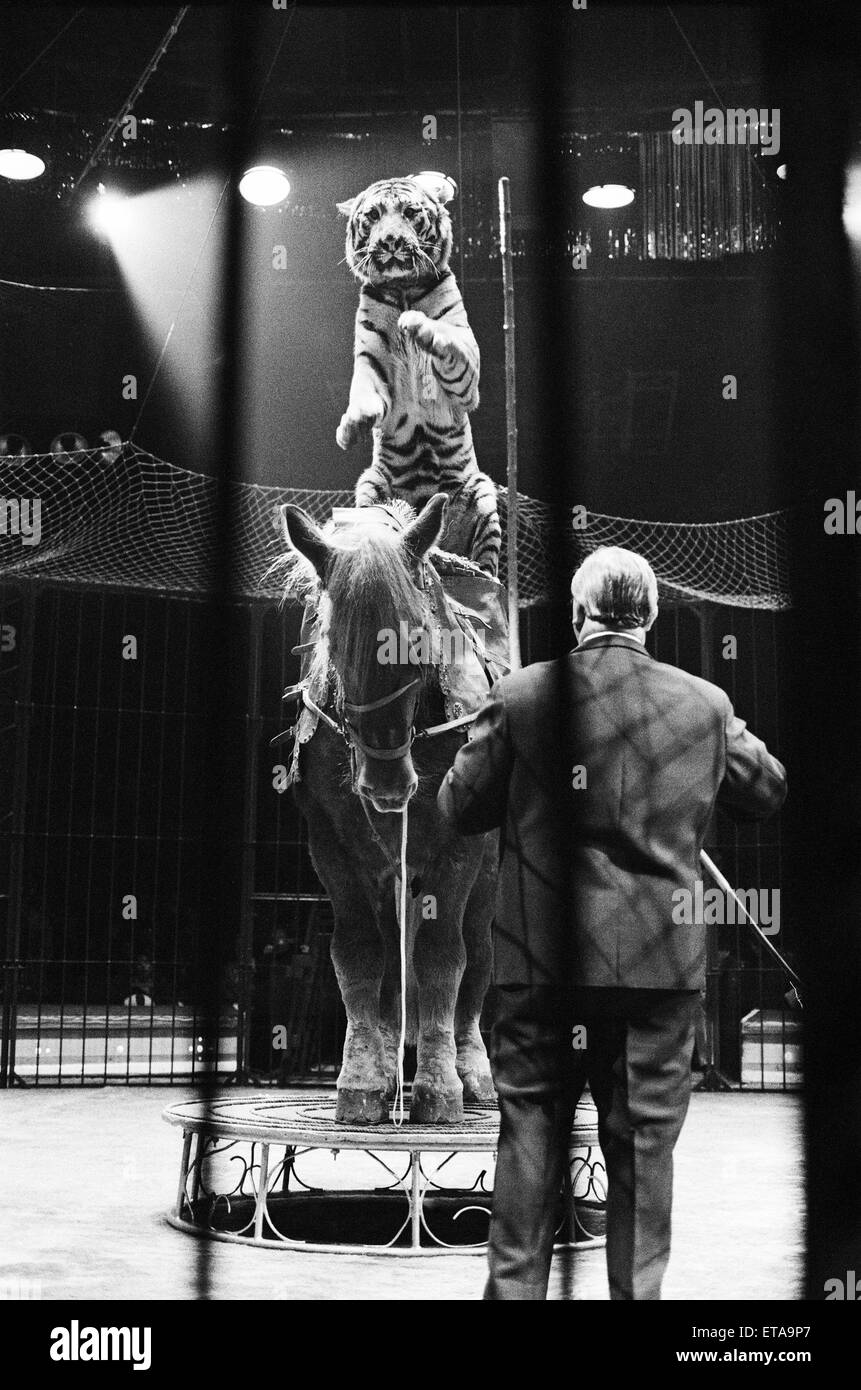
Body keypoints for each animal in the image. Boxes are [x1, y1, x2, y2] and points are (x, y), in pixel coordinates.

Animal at [279, 494, 497, 1123]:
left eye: (418, 642)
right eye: (333, 643)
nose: (387, 784)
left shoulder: (459, 848)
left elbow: (446, 955)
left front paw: (440, 1085)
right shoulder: (333, 847)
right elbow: (358, 954)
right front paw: (362, 1078)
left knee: (477, 951)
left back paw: (470, 1066)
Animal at [335, 172, 500, 575]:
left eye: (410, 213)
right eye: (373, 216)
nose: (391, 241)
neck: (403, 288)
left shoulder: (467, 367)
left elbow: (446, 337)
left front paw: (418, 325)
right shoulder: (369, 359)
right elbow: (363, 391)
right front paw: (354, 424)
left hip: (484, 493)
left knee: (488, 567)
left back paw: (471, 568)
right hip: (369, 485)